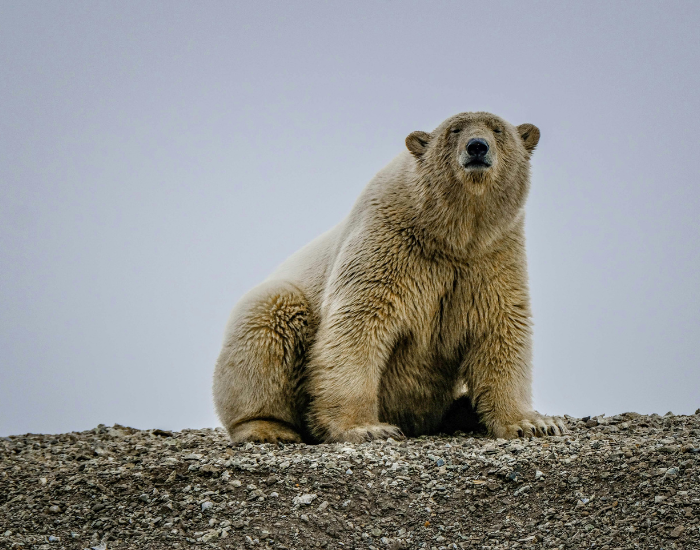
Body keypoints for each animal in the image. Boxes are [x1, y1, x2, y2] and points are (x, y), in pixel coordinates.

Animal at [213, 111, 567, 444]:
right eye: (454, 130)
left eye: (497, 129)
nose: (477, 146)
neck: (449, 234)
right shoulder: (386, 244)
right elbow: (357, 325)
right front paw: (367, 428)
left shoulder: (492, 257)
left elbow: (500, 329)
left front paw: (534, 423)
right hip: (279, 306)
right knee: (269, 321)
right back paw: (267, 428)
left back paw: (464, 410)